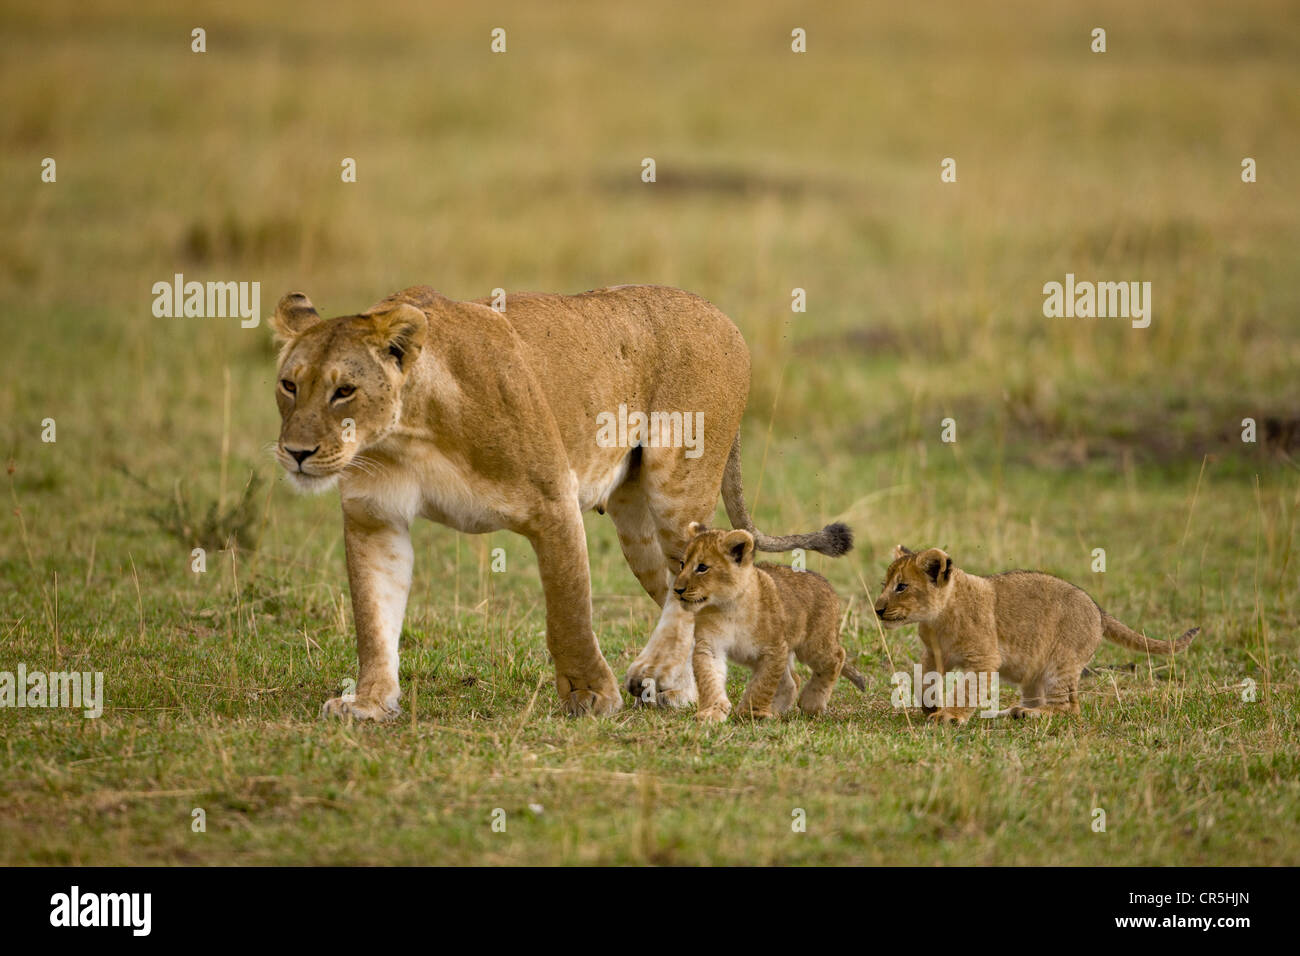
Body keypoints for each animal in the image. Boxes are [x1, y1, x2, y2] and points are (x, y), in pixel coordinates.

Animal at [674, 523, 864, 722]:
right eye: (682, 564)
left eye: (702, 567)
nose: (677, 589)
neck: (729, 607)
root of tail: (824, 581)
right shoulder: (710, 646)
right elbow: (709, 681)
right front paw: (711, 712)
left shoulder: (773, 648)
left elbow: (763, 684)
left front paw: (752, 713)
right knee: (792, 680)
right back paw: (777, 710)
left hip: (813, 645)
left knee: (836, 657)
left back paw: (811, 702)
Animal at [872, 545, 1200, 723]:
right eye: (884, 584)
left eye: (902, 586)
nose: (877, 609)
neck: (937, 620)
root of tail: (1098, 609)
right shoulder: (933, 653)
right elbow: (922, 677)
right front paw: (929, 704)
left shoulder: (983, 659)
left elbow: (966, 689)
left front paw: (949, 716)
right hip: (1034, 673)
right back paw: (1013, 711)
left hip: (1062, 663)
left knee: (1069, 708)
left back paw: (1029, 715)